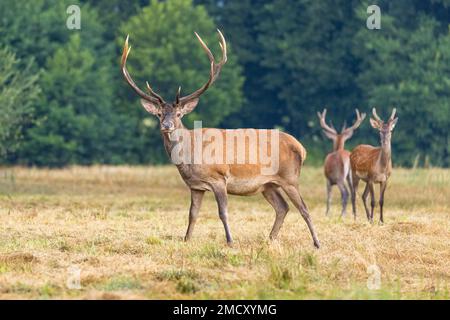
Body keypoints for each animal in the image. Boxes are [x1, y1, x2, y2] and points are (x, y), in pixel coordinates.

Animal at [121, 30, 322, 249]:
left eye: (179, 114)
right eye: (159, 115)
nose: (167, 125)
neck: (189, 159)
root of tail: (301, 148)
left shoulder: (219, 178)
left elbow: (223, 212)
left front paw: (230, 241)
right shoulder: (195, 186)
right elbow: (192, 214)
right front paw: (186, 239)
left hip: (290, 178)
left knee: (304, 208)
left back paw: (316, 243)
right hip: (268, 184)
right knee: (283, 207)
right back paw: (269, 240)